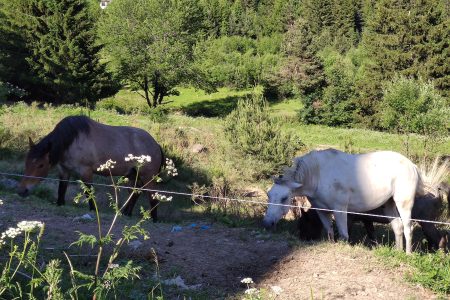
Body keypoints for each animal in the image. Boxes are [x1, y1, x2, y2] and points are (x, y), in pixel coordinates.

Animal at [18, 115, 165, 220]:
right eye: (26, 162)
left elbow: (89, 193)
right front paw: (60, 204)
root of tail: (156, 144)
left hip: (148, 177)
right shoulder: (64, 170)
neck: (72, 140)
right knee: (134, 194)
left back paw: (153, 219)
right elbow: (61, 190)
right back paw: (125, 214)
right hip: (133, 175)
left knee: (152, 196)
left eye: (40, 165)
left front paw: (93, 210)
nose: (22, 191)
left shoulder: (86, 171)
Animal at [264, 148, 426, 253]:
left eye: (284, 198)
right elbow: (329, 232)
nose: (267, 223)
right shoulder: (322, 211)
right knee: (398, 227)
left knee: (407, 229)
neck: (318, 175)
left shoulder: (340, 210)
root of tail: (412, 165)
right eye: (269, 195)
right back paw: (397, 253)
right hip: (389, 204)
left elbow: (343, 235)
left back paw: (407, 255)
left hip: (403, 204)